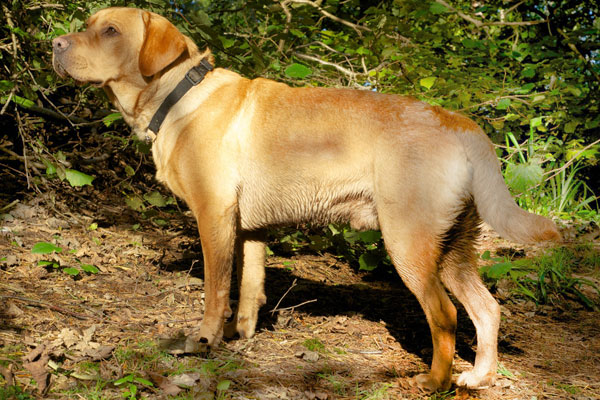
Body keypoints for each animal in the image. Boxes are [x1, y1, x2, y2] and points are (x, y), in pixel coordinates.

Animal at [52, 7, 564, 392]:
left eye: (111, 31)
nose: (56, 43)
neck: (178, 96)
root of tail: (459, 122)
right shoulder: (250, 229)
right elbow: (250, 290)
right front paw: (242, 337)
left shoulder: (214, 216)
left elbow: (217, 291)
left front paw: (203, 342)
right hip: (454, 248)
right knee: (486, 309)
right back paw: (478, 377)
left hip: (410, 244)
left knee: (445, 315)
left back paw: (433, 382)